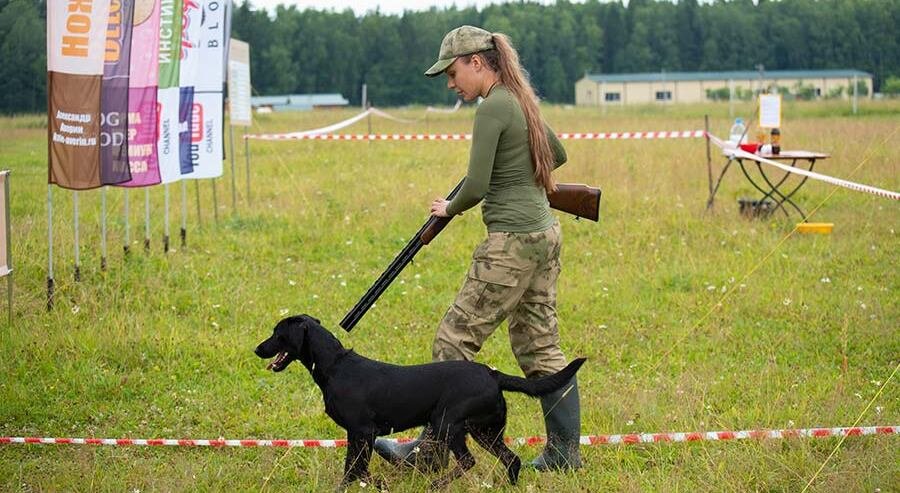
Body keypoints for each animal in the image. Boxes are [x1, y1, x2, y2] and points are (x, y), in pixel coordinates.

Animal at [255, 316, 592, 488]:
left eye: (277, 333)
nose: (257, 349)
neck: (336, 366)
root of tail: (492, 374)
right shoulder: (358, 435)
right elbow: (354, 470)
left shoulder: (362, 432)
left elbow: (355, 470)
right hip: (485, 431)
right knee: (512, 459)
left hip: (448, 424)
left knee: (468, 461)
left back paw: (437, 485)